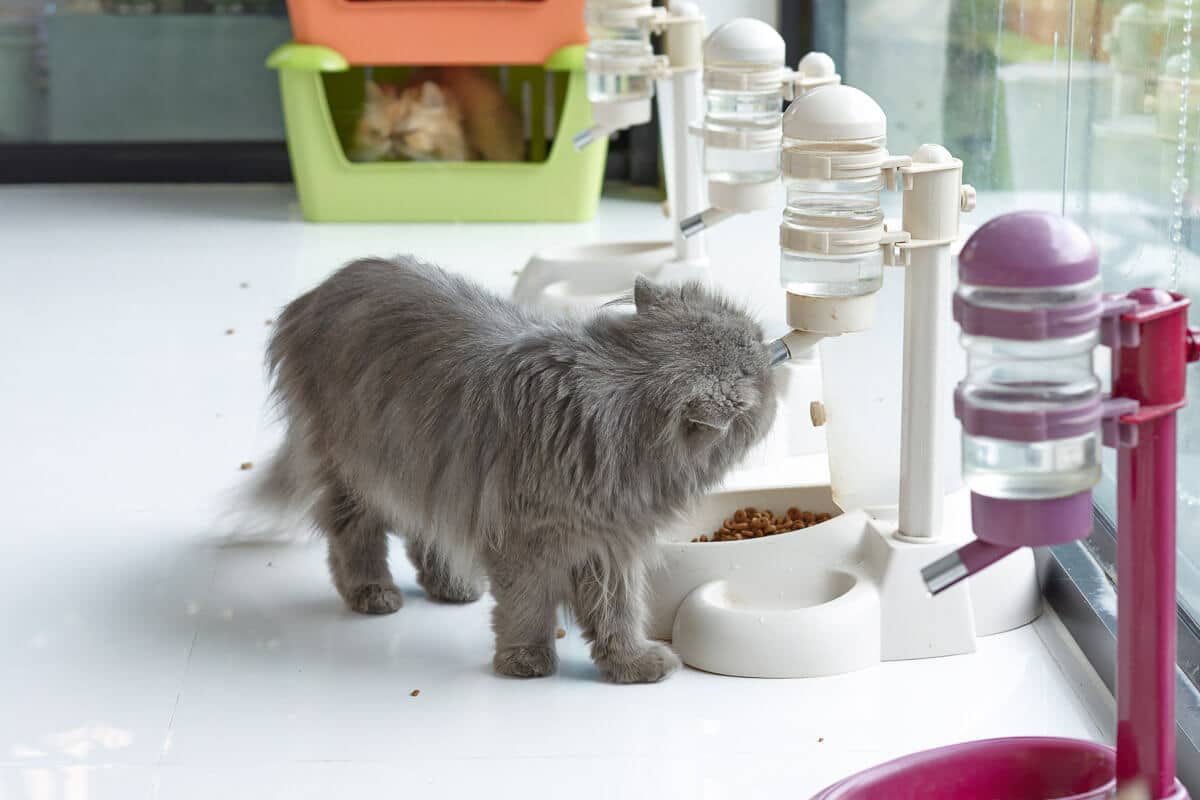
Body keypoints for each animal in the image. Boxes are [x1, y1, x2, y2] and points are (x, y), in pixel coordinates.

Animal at [256, 256, 772, 681]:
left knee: (425, 532)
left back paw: (451, 585)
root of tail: (328, 285)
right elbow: (526, 606)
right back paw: (373, 592)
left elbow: (618, 611)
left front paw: (630, 664)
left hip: (429, 470)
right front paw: (526, 661)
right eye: (752, 354)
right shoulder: (524, 538)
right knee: (353, 536)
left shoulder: (610, 543)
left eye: (750, 338)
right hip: (354, 468)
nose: (770, 345)